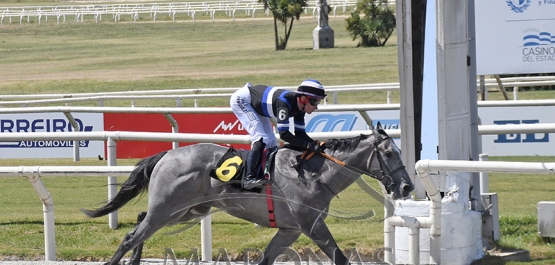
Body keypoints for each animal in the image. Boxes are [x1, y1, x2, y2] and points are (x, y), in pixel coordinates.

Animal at [81, 127, 412, 262]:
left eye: (399, 151)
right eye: (388, 153)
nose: (407, 187)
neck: (313, 173)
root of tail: (166, 155)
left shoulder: (290, 230)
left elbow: (266, 258)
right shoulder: (312, 225)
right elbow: (339, 258)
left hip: (185, 211)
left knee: (140, 220)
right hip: (169, 209)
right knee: (131, 236)